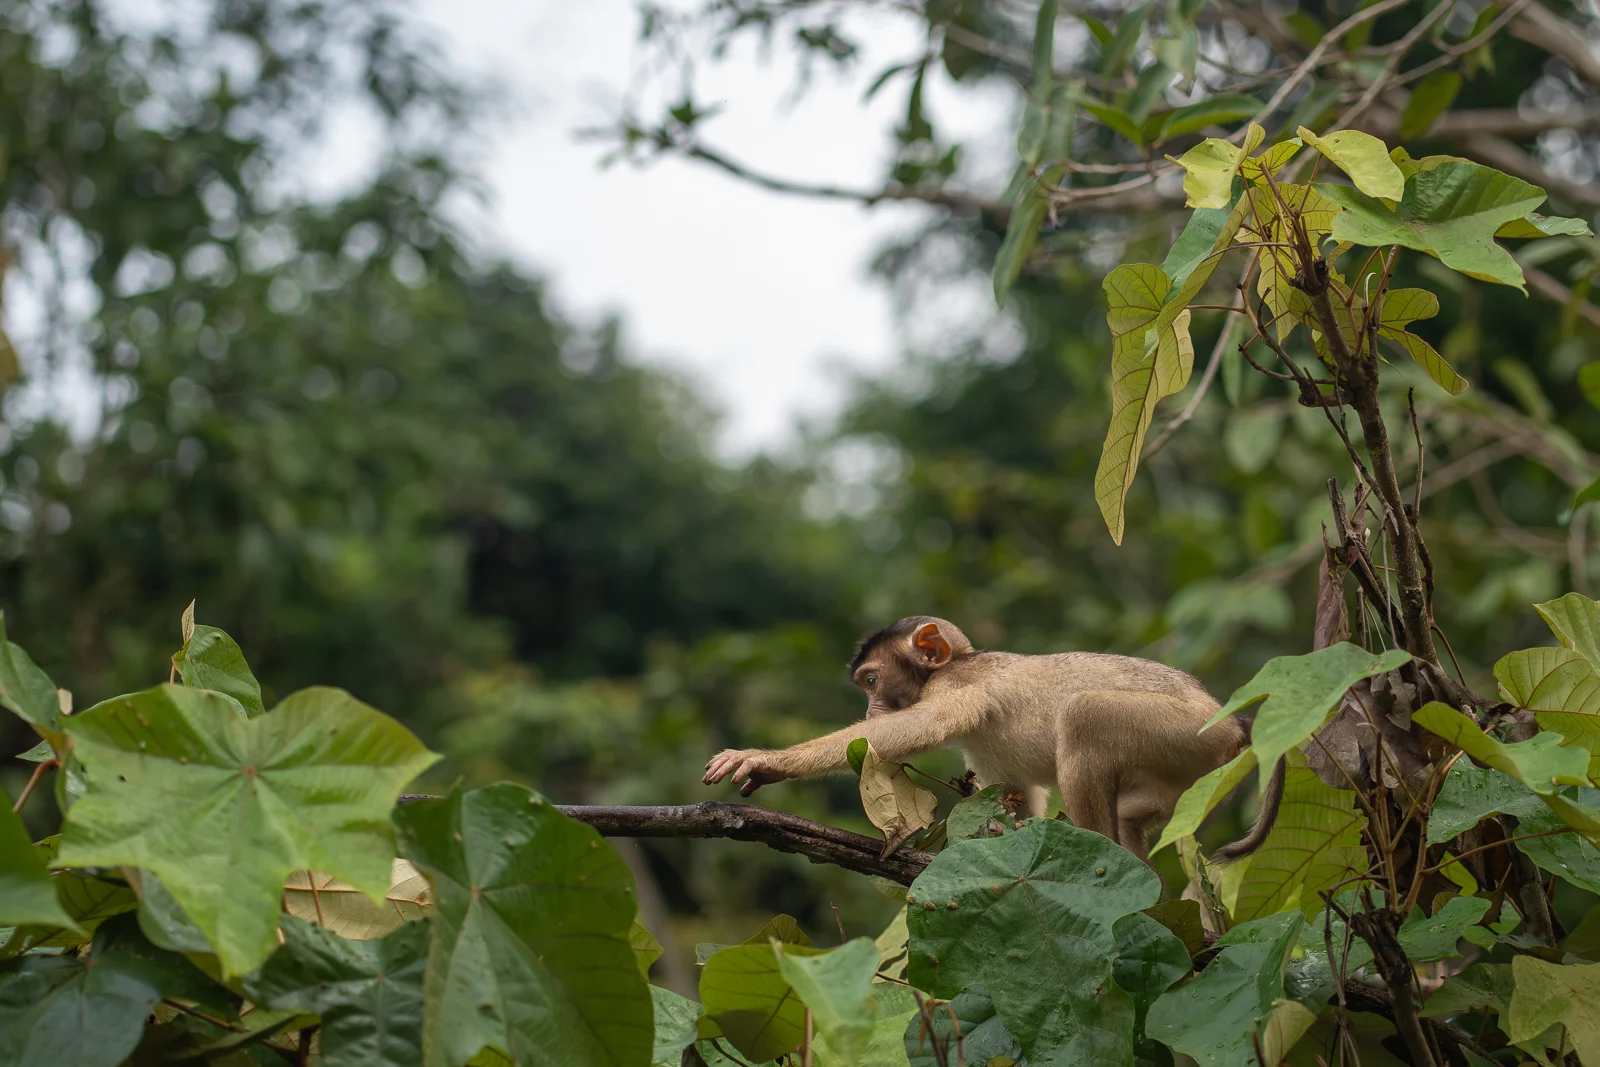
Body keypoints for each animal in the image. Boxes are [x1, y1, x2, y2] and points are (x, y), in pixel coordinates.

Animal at [702, 616, 1283, 861]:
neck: (957, 662)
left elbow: (912, 729)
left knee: (1084, 715)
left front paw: (766, 760)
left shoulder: (956, 687)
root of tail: (1231, 720)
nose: (867, 706)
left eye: (871, 682)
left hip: (1188, 734)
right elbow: (1015, 796)